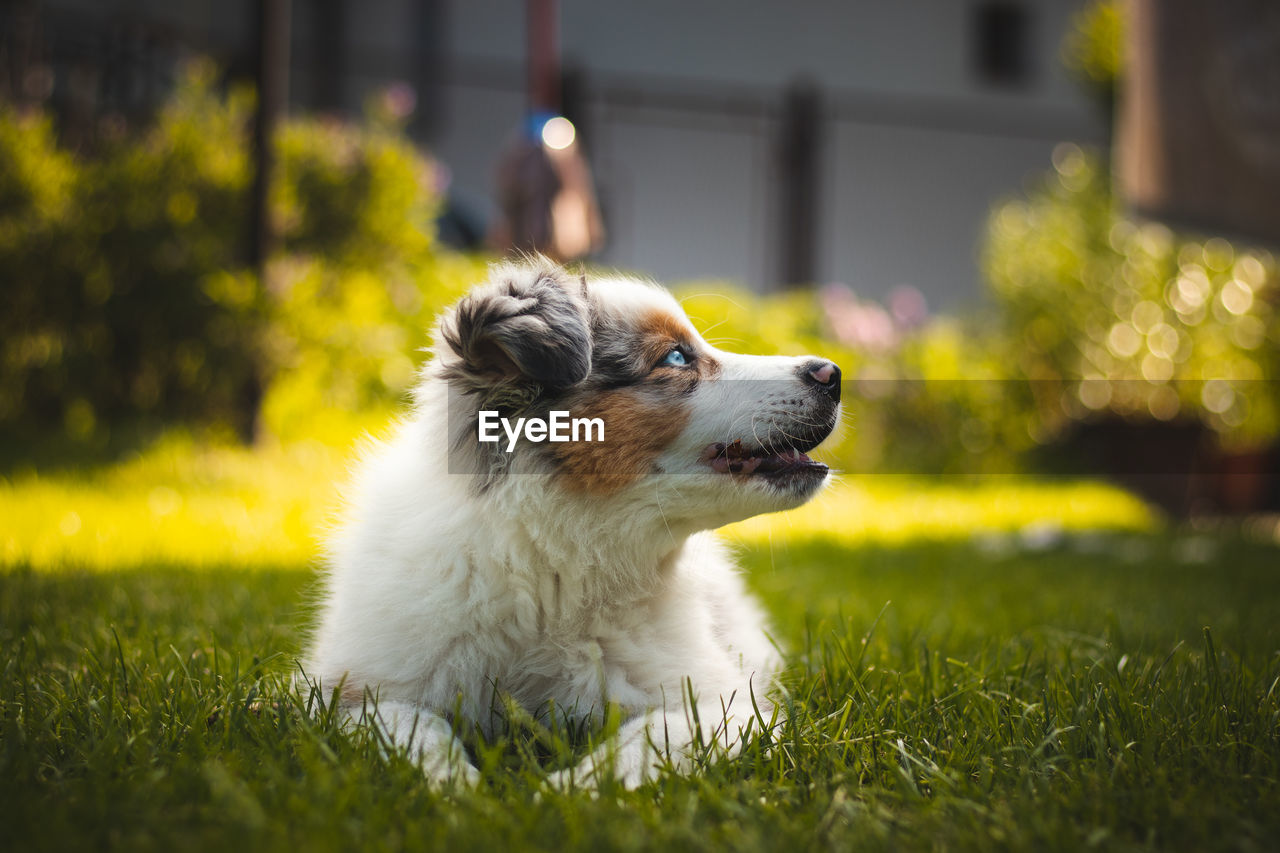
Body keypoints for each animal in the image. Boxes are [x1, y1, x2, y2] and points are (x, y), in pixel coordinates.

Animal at [303, 257, 834, 783]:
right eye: (676, 358)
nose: (832, 372)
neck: (552, 566)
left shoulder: (725, 705)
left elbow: (643, 742)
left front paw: (564, 791)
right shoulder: (345, 692)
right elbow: (413, 728)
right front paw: (457, 787)